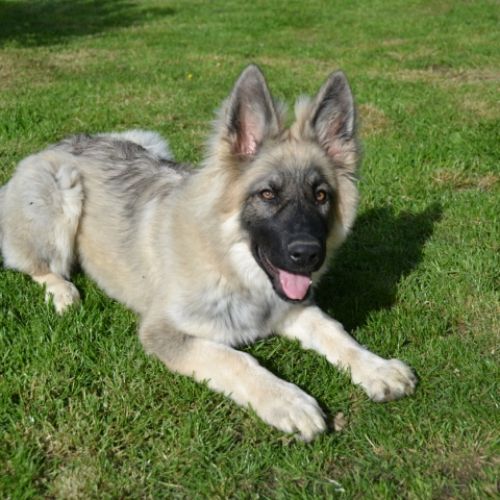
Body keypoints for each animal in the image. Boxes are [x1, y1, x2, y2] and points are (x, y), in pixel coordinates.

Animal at [0, 65, 416, 440]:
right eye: (268, 194)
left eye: (321, 196)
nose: (309, 255)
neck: (232, 267)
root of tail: (60, 143)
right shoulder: (163, 332)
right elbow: (235, 358)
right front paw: (286, 400)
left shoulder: (292, 308)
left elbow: (334, 331)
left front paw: (376, 368)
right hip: (63, 191)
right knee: (37, 264)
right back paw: (62, 291)